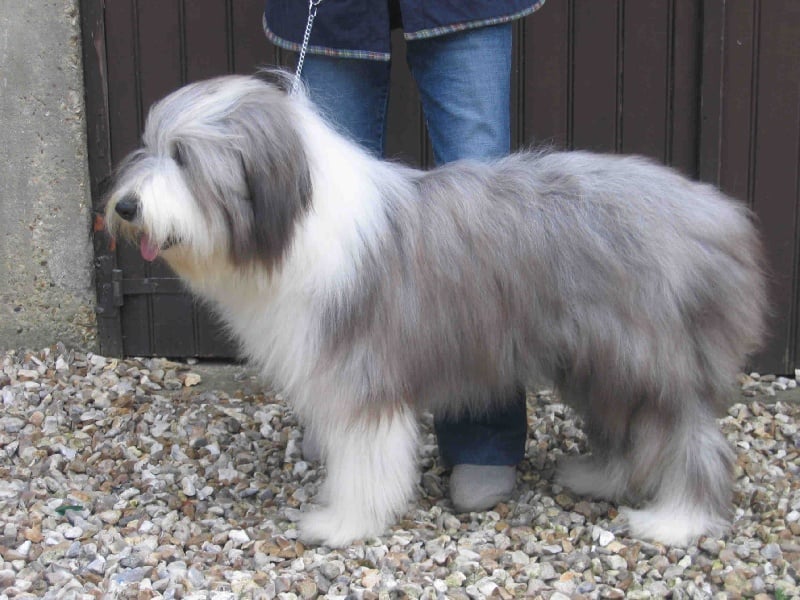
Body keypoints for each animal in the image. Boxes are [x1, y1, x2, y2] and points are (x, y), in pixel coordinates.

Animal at [103, 71, 764, 548]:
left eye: (184, 157)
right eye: (150, 146)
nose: (126, 207)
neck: (293, 221)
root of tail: (713, 216)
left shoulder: (364, 375)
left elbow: (366, 462)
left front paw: (342, 524)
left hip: (642, 355)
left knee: (690, 436)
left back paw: (678, 521)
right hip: (597, 360)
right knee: (637, 431)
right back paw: (601, 478)